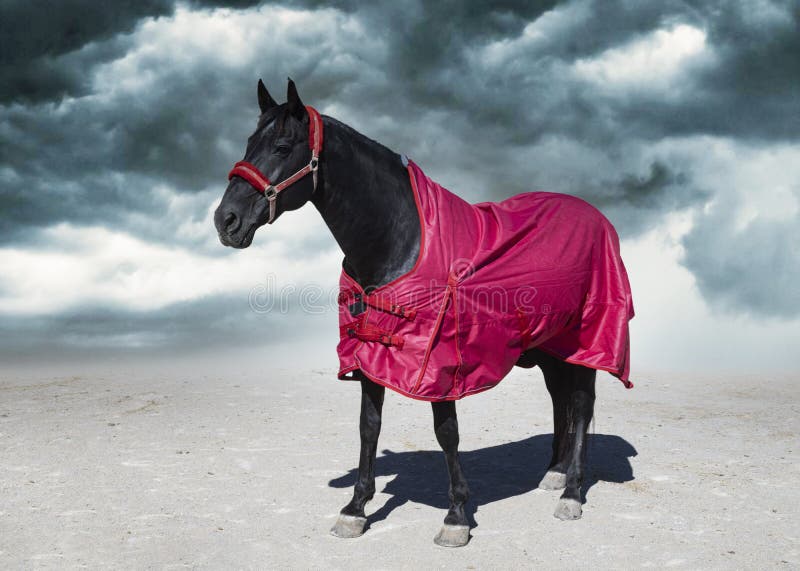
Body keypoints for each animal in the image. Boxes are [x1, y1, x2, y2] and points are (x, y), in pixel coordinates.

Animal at [214, 79, 634, 547]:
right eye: (249, 143)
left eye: (283, 146)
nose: (226, 221)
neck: (401, 241)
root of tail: (596, 216)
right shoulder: (371, 354)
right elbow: (369, 426)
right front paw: (355, 509)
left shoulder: (440, 365)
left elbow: (446, 433)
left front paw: (456, 516)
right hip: (549, 347)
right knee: (562, 401)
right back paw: (555, 474)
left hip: (585, 342)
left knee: (580, 403)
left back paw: (572, 493)